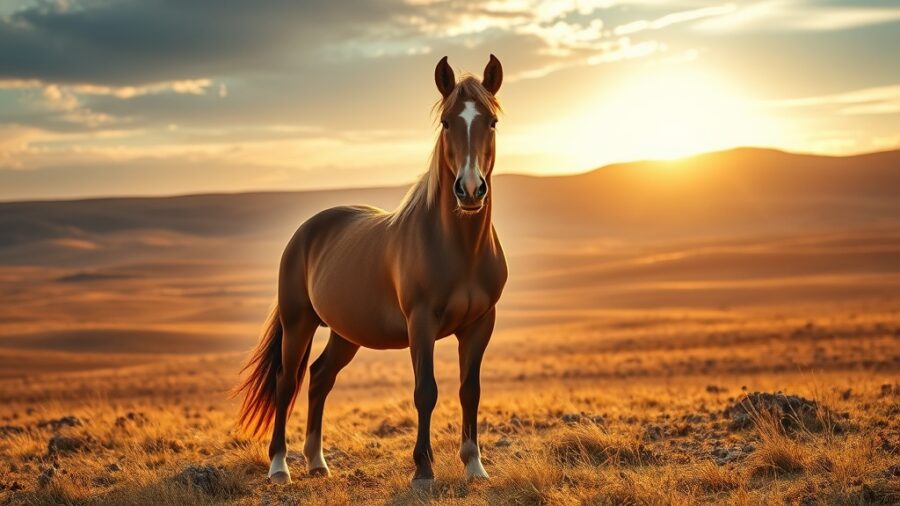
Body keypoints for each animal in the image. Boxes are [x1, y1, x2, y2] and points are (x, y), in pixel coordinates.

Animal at [237, 55, 507, 488]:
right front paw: (423, 470)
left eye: (492, 122)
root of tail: (306, 231)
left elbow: (471, 391)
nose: (469, 190)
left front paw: (474, 466)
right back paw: (279, 467)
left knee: (320, 377)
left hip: (346, 332)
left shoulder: (481, 323)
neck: (460, 249)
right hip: (298, 323)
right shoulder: (421, 323)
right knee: (286, 382)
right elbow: (425, 391)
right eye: (447, 122)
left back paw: (317, 461)